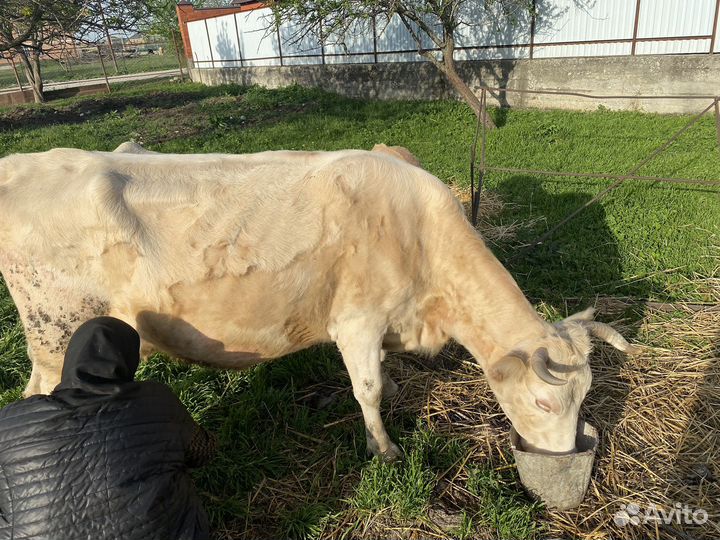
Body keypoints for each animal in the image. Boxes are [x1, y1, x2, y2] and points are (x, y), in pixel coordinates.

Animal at [0, 143, 637, 460]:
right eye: (545, 402)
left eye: (586, 397)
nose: (565, 454)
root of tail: (25, 162)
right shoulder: (355, 318)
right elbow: (367, 389)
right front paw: (385, 448)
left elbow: (383, 375)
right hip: (55, 335)